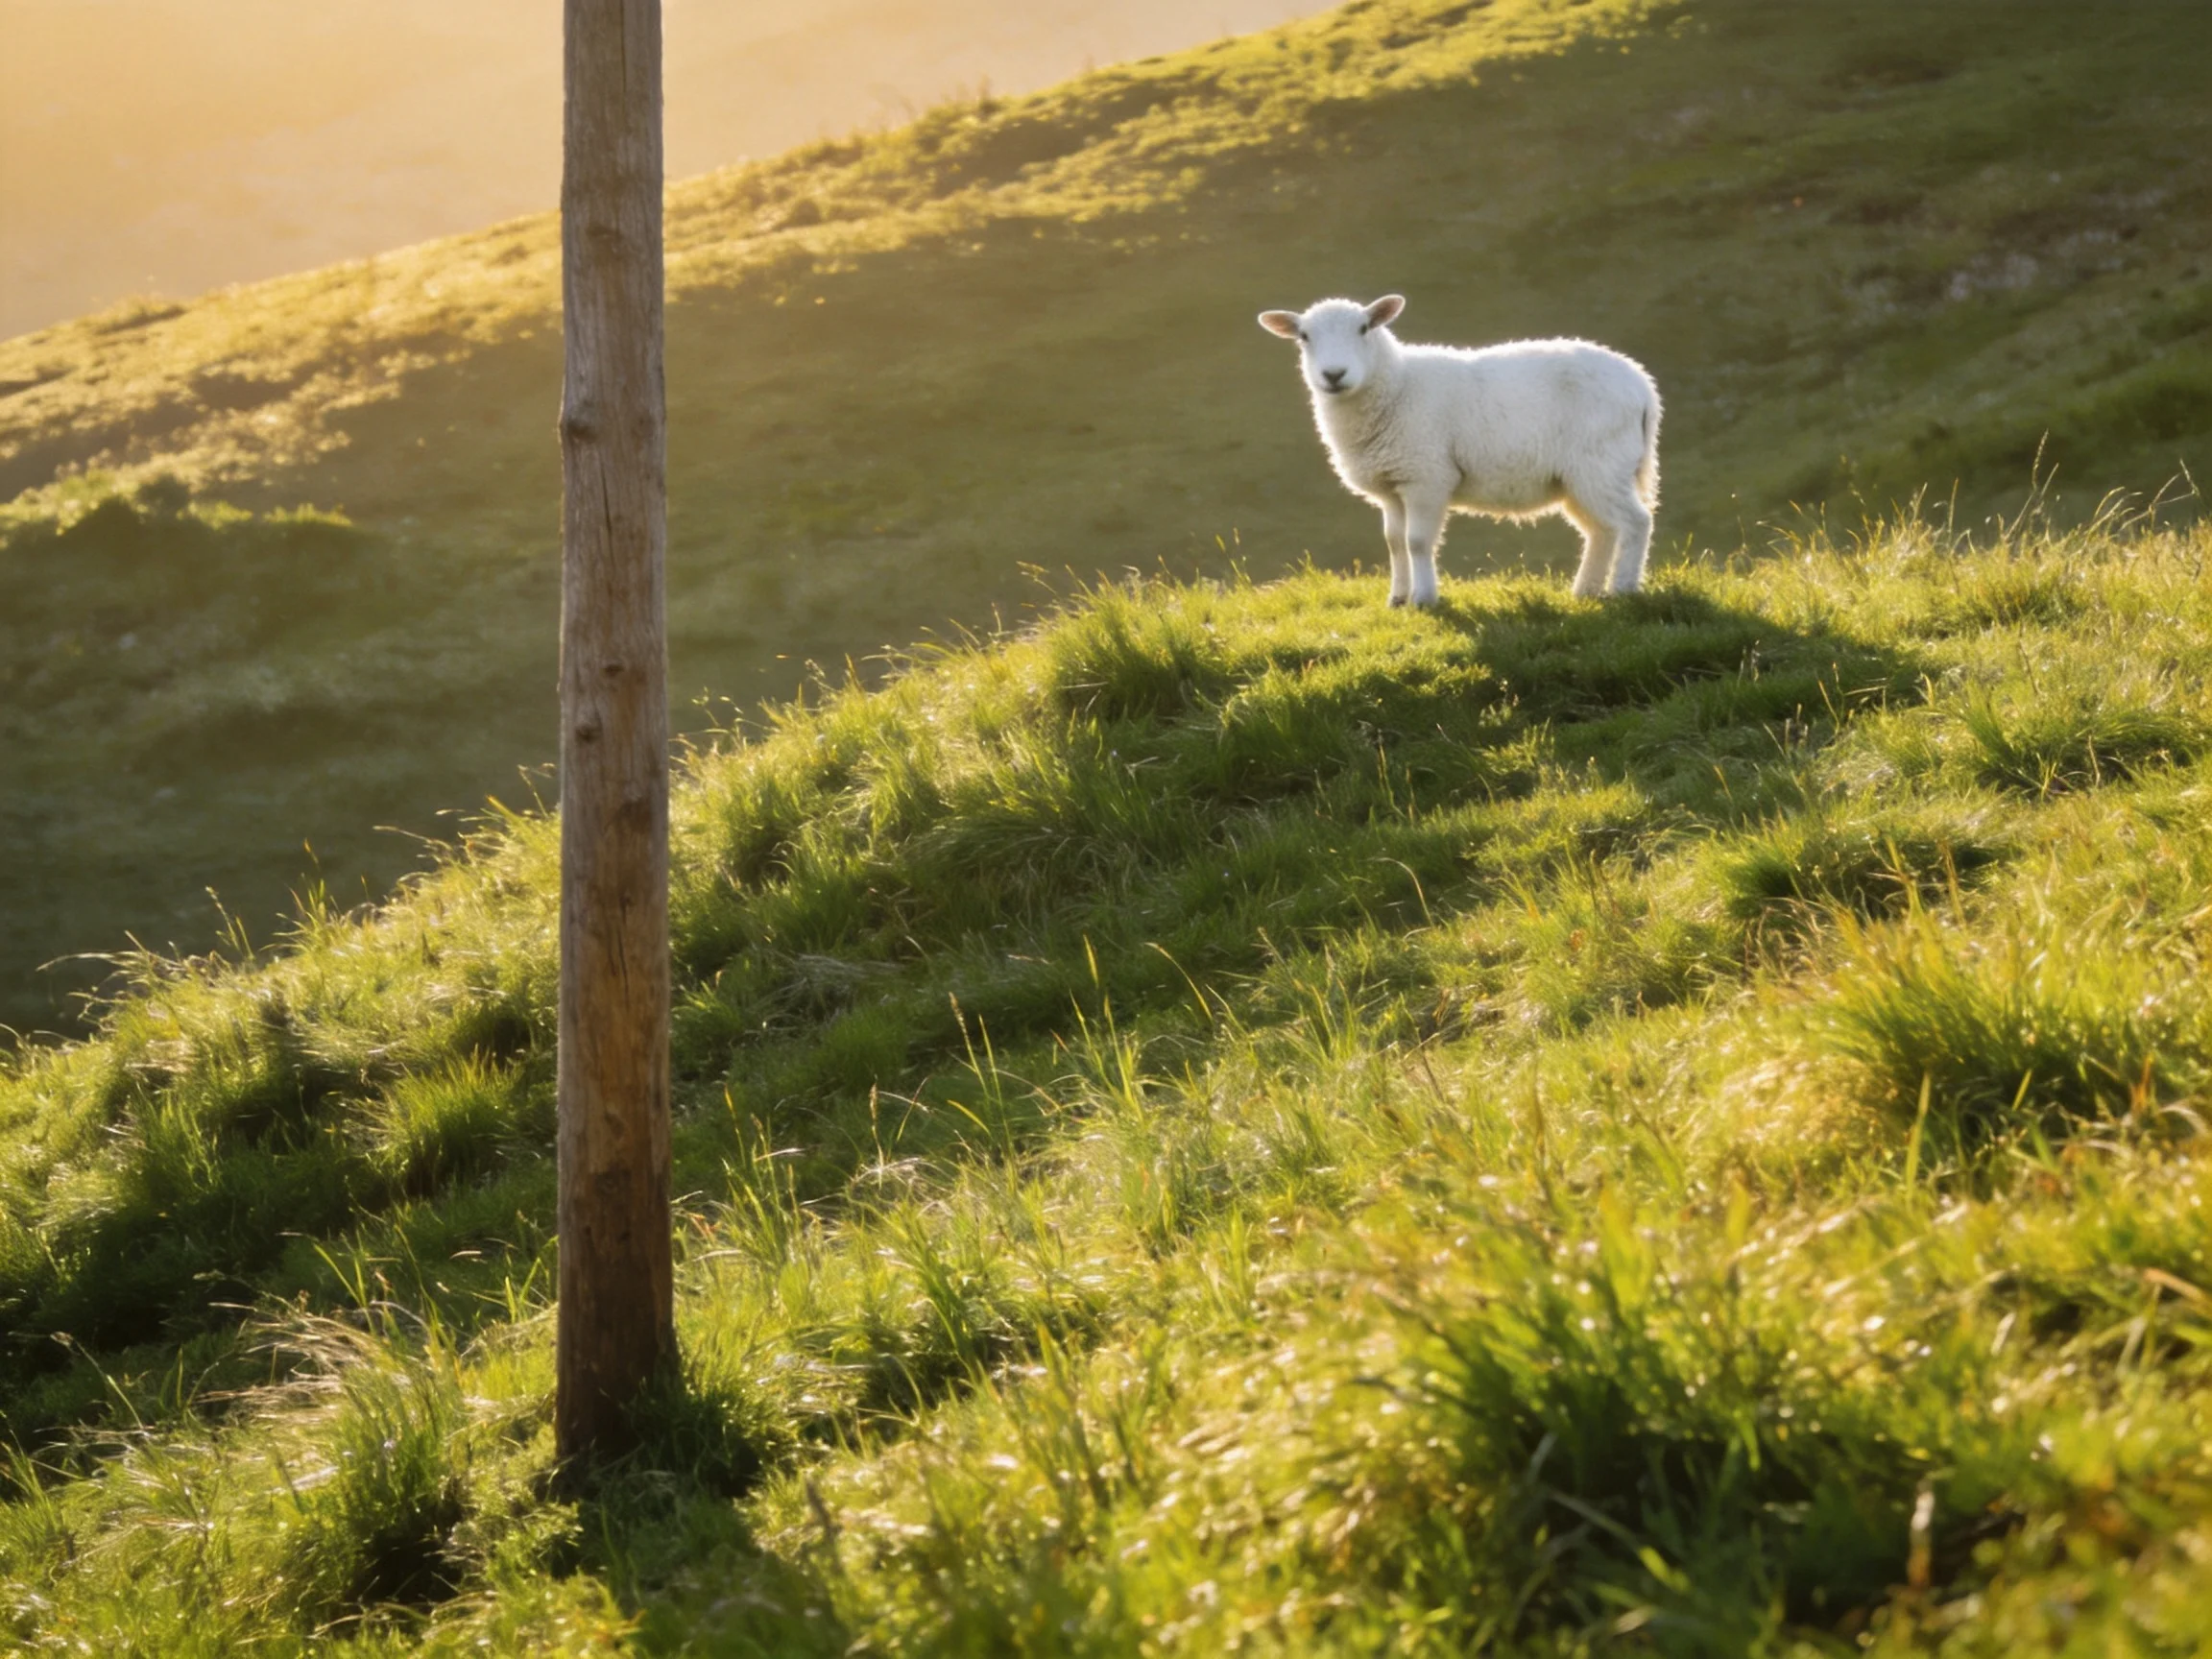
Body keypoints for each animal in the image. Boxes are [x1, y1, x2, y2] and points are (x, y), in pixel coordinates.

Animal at [1257, 295, 1661, 604]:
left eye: (1364, 328)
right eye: (1304, 336)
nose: (1334, 375)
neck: (1397, 384)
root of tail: (1642, 383)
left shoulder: (1426, 475)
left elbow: (1417, 542)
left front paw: (1424, 599)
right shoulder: (1392, 484)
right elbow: (1394, 543)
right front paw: (1398, 598)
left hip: (1601, 464)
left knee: (1636, 522)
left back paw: (1624, 588)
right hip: (1580, 477)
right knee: (1602, 531)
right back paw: (1586, 591)